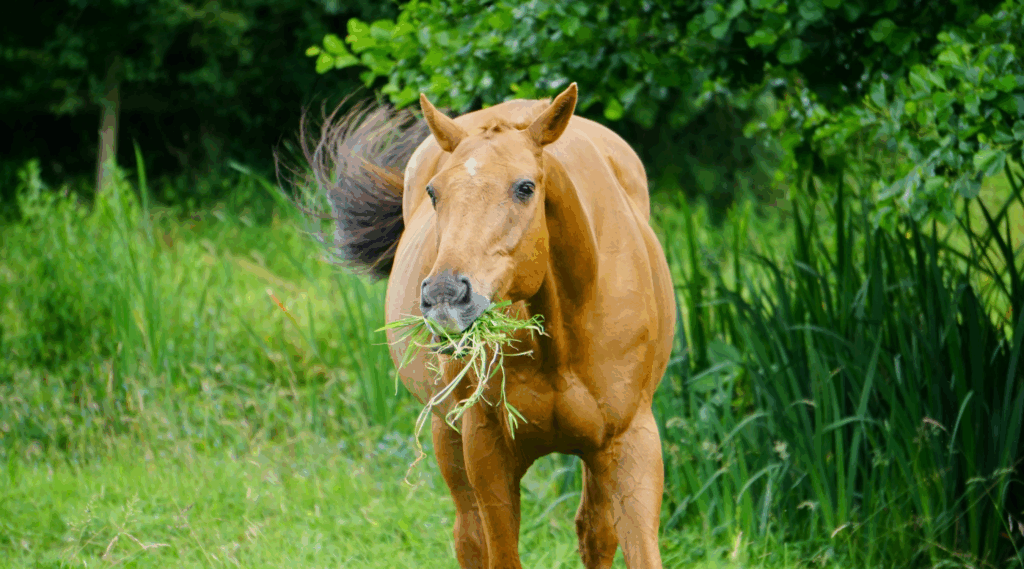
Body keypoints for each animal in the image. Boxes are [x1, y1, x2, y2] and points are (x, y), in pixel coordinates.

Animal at [303, 83, 676, 568]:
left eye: (525, 187)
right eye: (434, 192)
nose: (445, 296)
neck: (562, 341)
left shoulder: (631, 444)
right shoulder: (487, 449)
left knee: (594, 532)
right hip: (447, 434)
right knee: (469, 536)